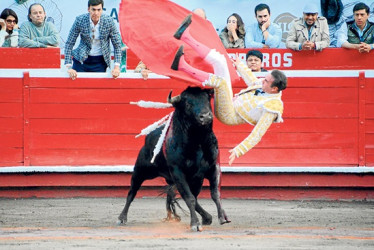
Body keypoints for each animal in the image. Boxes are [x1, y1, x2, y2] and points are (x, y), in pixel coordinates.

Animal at [118, 87, 231, 231]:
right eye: (188, 104)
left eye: (207, 100)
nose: (206, 116)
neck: (198, 140)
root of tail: (149, 137)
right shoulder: (178, 172)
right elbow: (189, 198)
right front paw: (195, 224)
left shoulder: (213, 167)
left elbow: (215, 193)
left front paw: (223, 217)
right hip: (140, 172)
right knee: (131, 192)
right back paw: (122, 217)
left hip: (194, 179)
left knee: (194, 197)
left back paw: (207, 217)